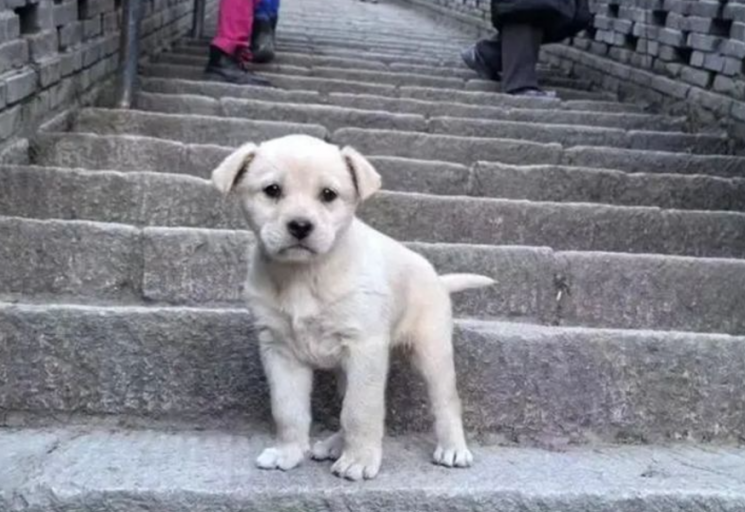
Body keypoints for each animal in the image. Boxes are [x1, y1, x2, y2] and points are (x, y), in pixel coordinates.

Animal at [212, 133, 494, 480]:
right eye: (272, 190)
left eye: (328, 194)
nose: (300, 226)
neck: (304, 275)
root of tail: (438, 278)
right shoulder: (279, 350)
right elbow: (288, 409)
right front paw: (288, 452)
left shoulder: (365, 348)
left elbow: (360, 410)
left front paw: (359, 460)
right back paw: (334, 445)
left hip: (432, 352)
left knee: (446, 402)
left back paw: (453, 448)